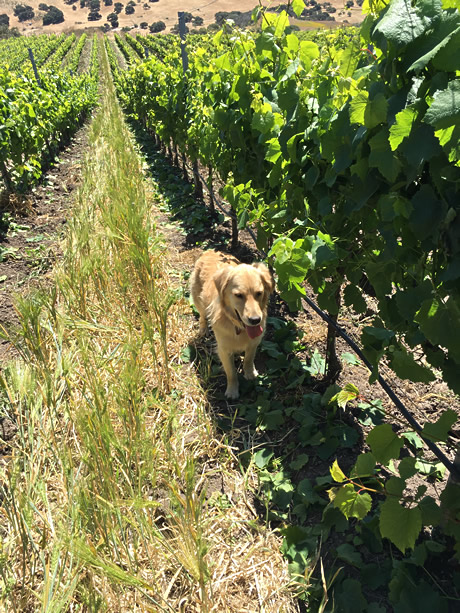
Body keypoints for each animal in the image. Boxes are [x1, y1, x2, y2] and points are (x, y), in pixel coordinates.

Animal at [190, 250, 274, 400]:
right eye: (238, 295)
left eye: (259, 293)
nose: (255, 320)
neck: (238, 327)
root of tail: (210, 250)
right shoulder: (224, 350)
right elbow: (231, 373)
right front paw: (232, 391)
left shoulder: (254, 343)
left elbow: (248, 359)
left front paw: (250, 373)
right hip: (198, 300)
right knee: (202, 316)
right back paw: (203, 329)